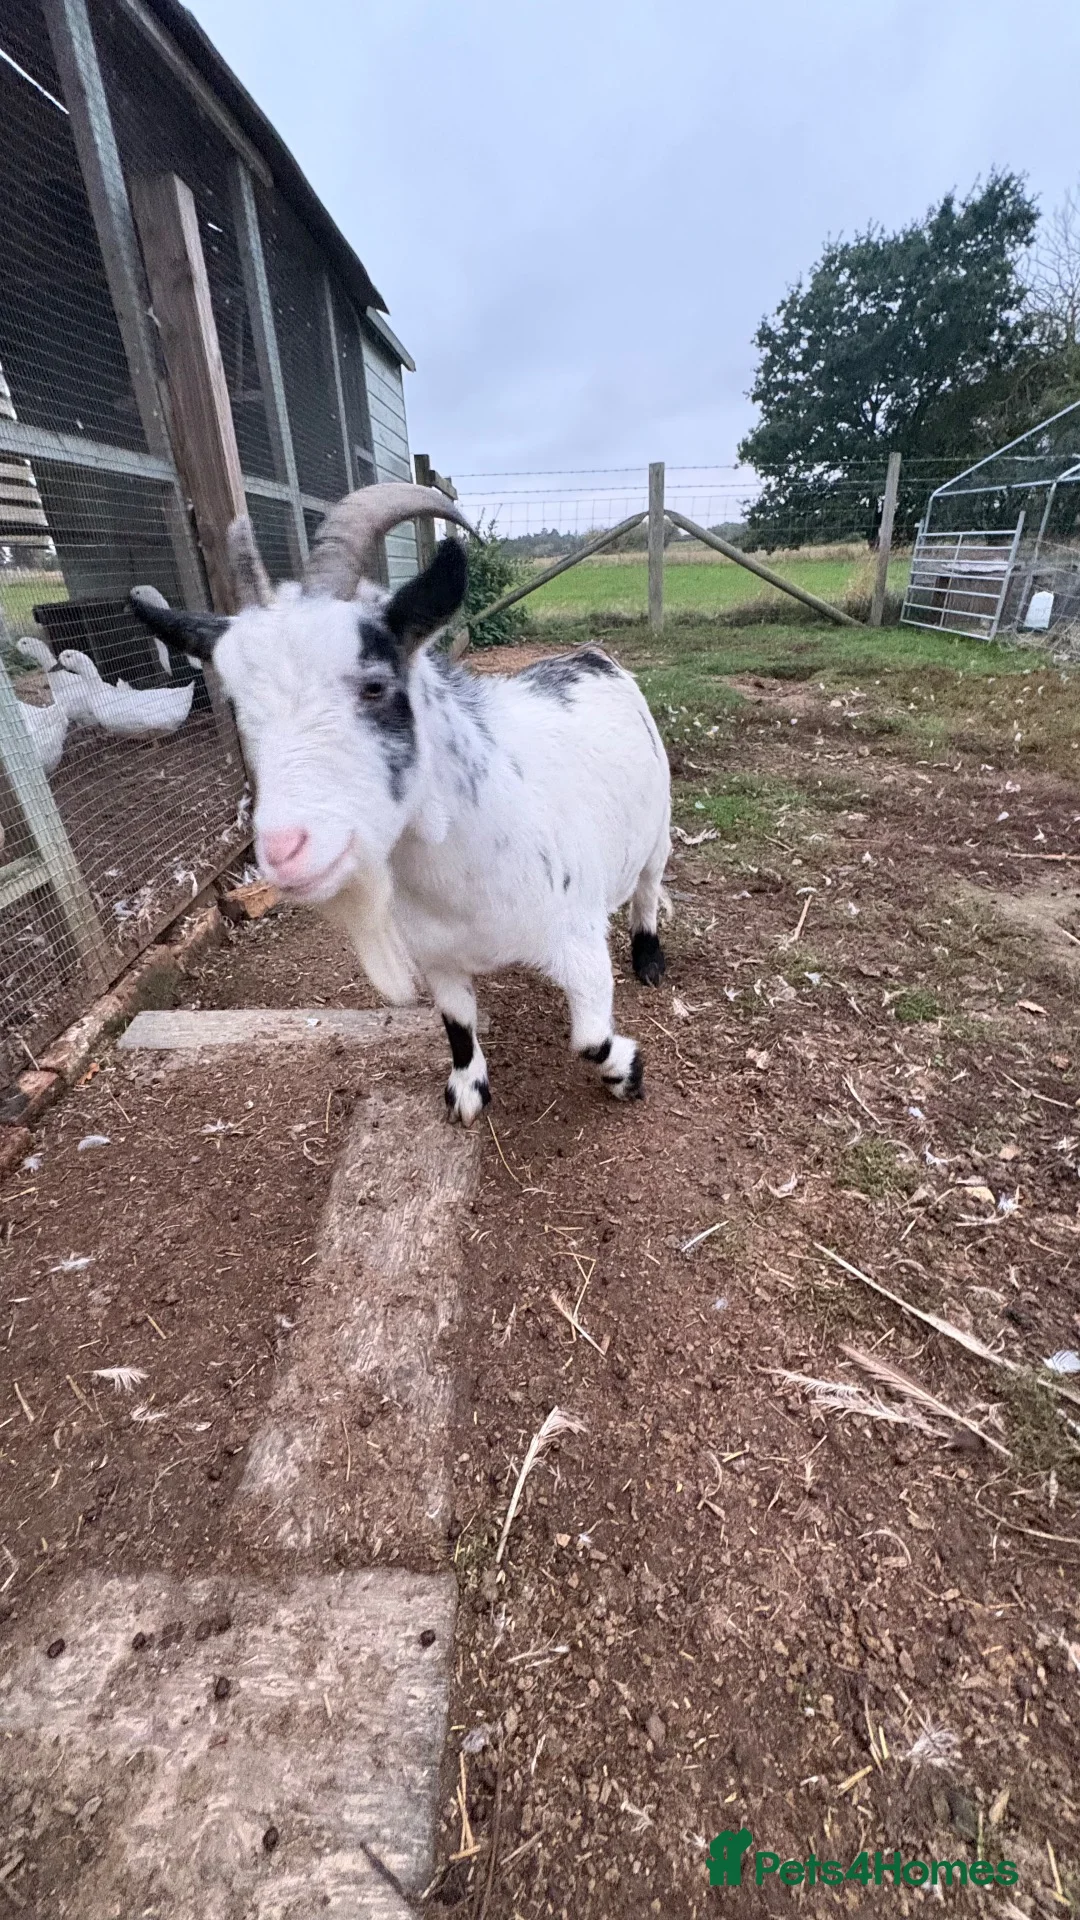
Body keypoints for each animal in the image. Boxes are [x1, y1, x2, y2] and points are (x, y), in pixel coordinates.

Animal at [130, 483, 671, 1122]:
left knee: (648, 888)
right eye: (236, 706)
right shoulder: (436, 957)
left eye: (375, 685)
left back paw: (650, 959)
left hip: (658, 828)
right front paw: (466, 1092)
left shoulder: (579, 942)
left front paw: (629, 1073)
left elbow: (589, 1041)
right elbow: (456, 1025)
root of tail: (589, 655)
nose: (286, 850)